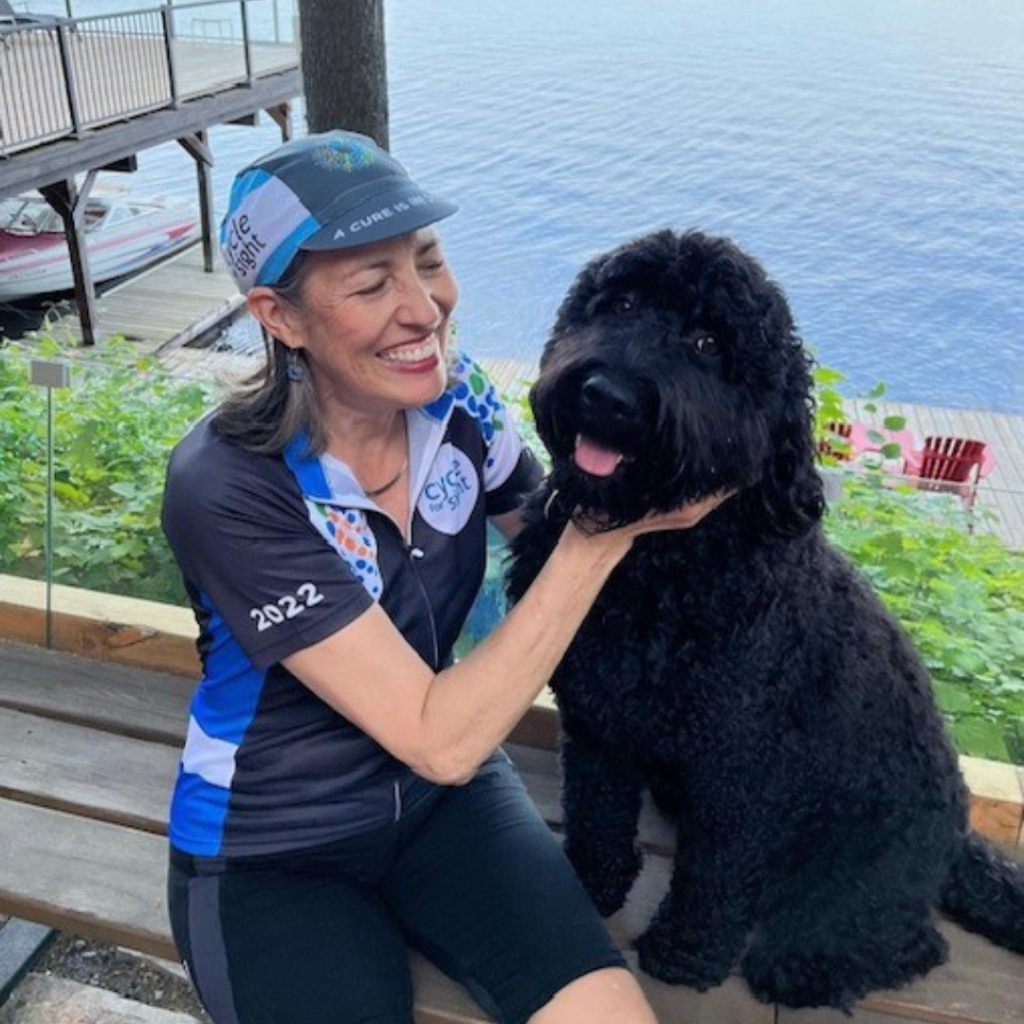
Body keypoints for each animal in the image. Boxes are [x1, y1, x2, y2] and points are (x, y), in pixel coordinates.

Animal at [505, 230, 1024, 1007]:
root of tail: (957, 841)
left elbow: (713, 874)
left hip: (859, 865)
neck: (655, 566)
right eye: (619, 304)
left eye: (708, 342)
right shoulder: (598, 729)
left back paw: (808, 966)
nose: (608, 395)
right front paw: (588, 891)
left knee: (907, 942)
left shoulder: (740, 769)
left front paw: (686, 954)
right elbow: (597, 816)